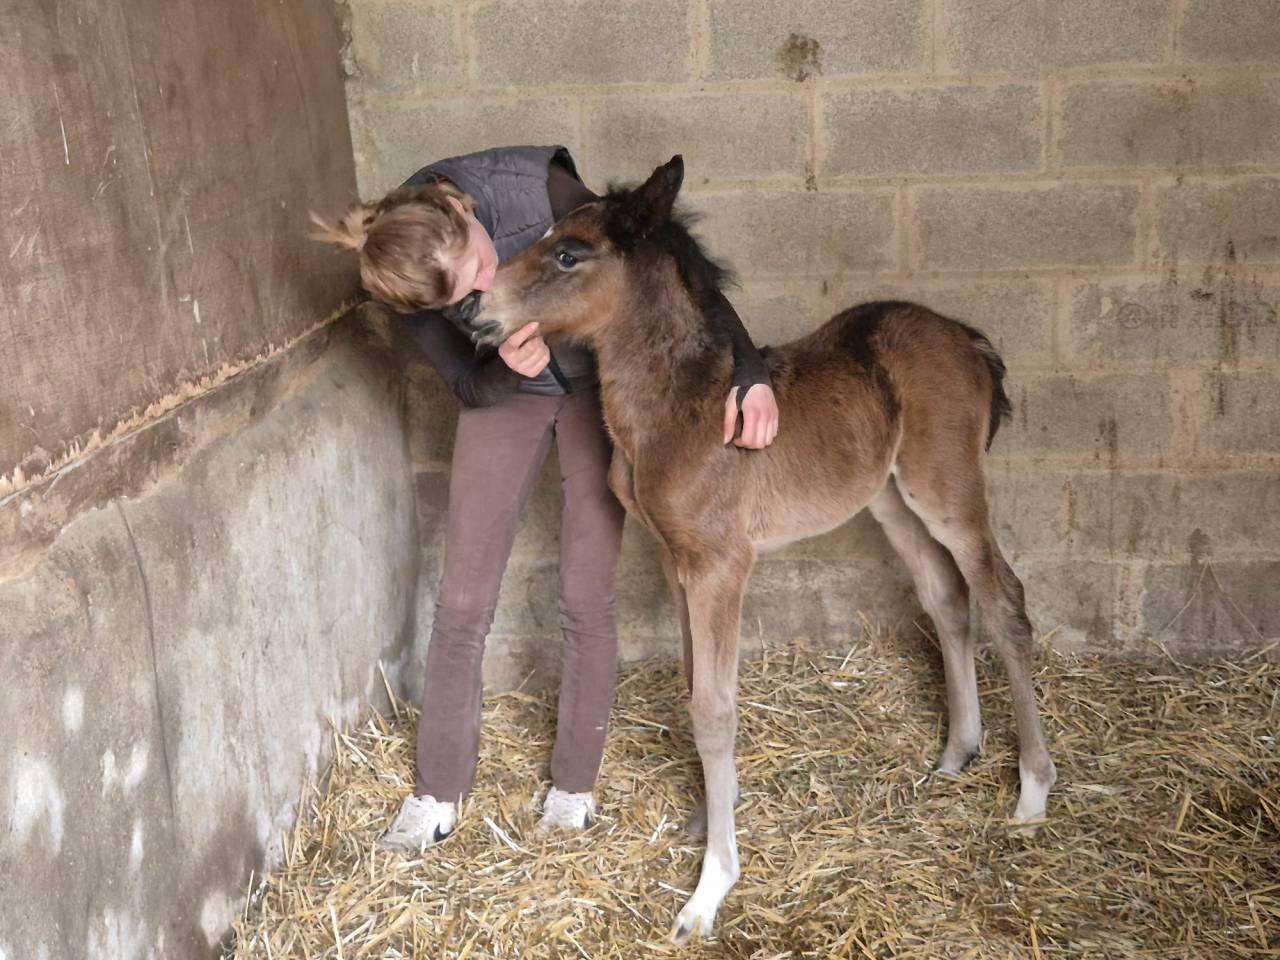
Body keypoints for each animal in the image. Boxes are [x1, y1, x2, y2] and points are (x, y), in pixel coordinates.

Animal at [446, 156, 1056, 941]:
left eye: (568, 255)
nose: (472, 311)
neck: (681, 413)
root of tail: (963, 337)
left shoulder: (721, 566)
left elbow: (715, 710)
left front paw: (710, 888)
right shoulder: (676, 561)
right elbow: (693, 687)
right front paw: (708, 814)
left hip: (947, 489)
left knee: (1005, 602)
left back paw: (1032, 793)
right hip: (890, 499)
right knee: (947, 598)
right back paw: (956, 754)